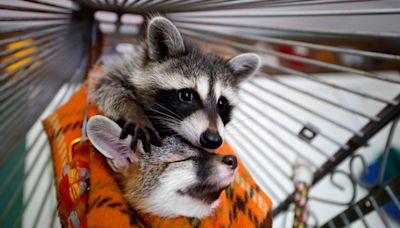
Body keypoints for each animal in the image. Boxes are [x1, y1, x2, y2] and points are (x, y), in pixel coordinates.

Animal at [93, 15, 262, 151]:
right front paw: (133, 111)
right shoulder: (125, 68)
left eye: (222, 103)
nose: (212, 140)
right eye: (186, 95)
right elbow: (107, 87)